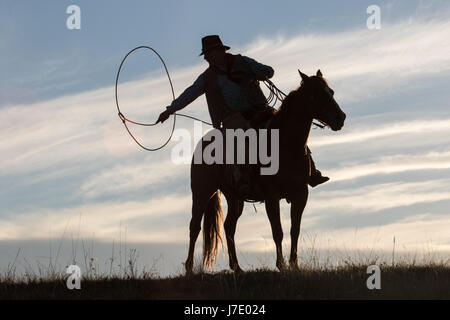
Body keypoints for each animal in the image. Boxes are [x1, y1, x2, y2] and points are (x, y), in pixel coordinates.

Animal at [185, 68, 346, 272]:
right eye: (315, 95)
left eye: (331, 92)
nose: (340, 117)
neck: (285, 146)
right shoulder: (271, 197)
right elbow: (278, 231)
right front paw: (281, 265)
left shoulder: (301, 194)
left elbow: (295, 230)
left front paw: (294, 264)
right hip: (202, 192)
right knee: (194, 227)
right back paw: (189, 267)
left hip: (234, 197)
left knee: (229, 226)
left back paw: (236, 267)